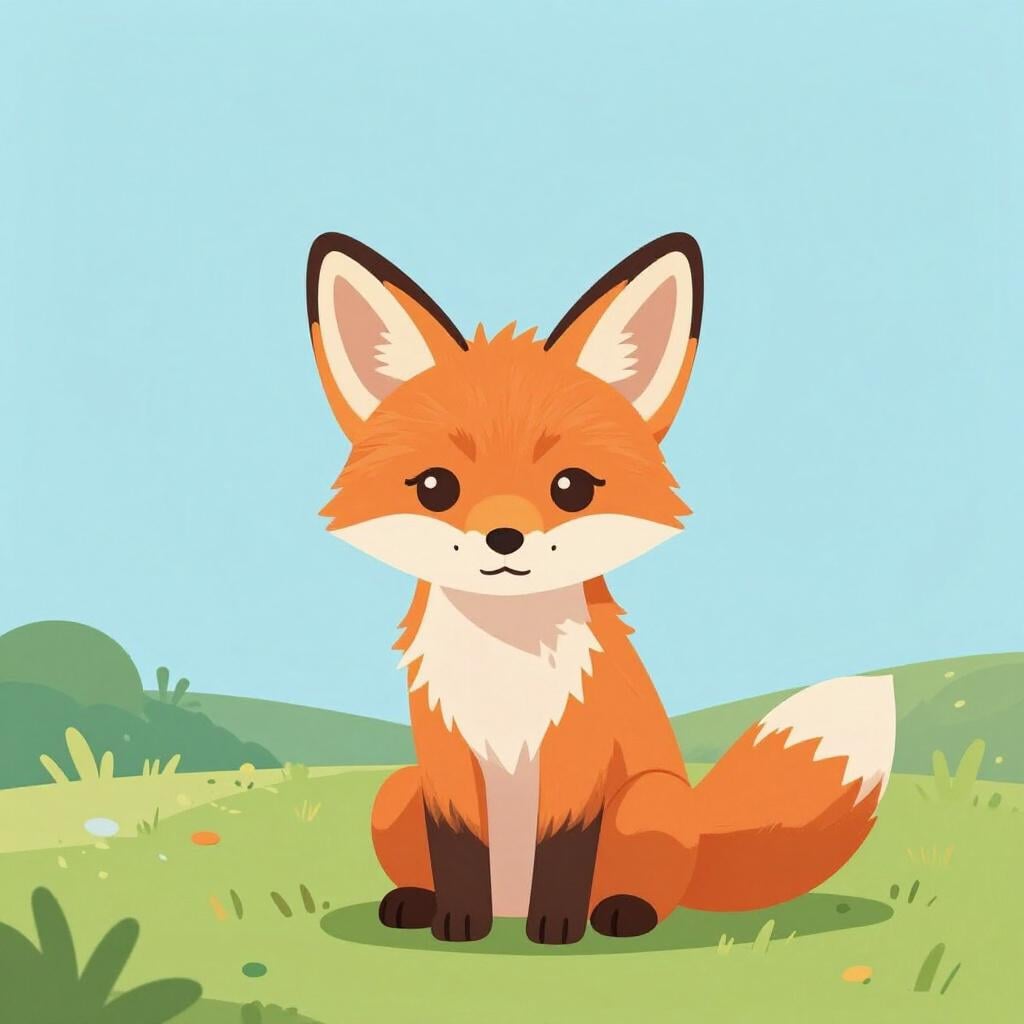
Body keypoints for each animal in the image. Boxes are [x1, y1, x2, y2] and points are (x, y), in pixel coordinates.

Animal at [304, 232, 896, 944]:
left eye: (572, 487)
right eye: (435, 487)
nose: (505, 538)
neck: (506, 665)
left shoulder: (581, 752)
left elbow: (565, 848)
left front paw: (558, 926)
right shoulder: (445, 760)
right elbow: (458, 848)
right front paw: (458, 922)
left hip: (649, 801)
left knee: (658, 894)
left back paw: (620, 912)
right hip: (398, 790)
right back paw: (417, 903)